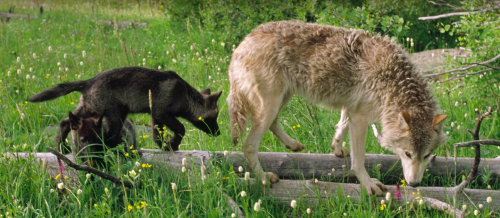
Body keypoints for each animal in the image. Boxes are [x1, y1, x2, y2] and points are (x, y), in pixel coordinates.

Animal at [28, 66, 222, 151]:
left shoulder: (155, 115)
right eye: (214, 117)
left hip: (88, 109)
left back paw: (62, 147)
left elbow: (156, 135)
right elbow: (181, 128)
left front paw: (165, 146)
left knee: (64, 123)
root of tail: (88, 81)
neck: (185, 95)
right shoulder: (162, 113)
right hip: (116, 114)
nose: (219, 133)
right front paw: (173, 144)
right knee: (109, 137)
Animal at [229, 19, 448, 195]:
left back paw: (293, 145)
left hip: (281, 99)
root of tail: (241, 45)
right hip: (271, 105)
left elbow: (341, 127)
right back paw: (263, 178)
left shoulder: (350, 106)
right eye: (407, 154)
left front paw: (337, 148)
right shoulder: (360, 118)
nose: (414, 184)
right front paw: (368, 185)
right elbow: (358, 161)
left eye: (426, 156)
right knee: (249, 145)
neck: (392, 82)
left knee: (273, 124)